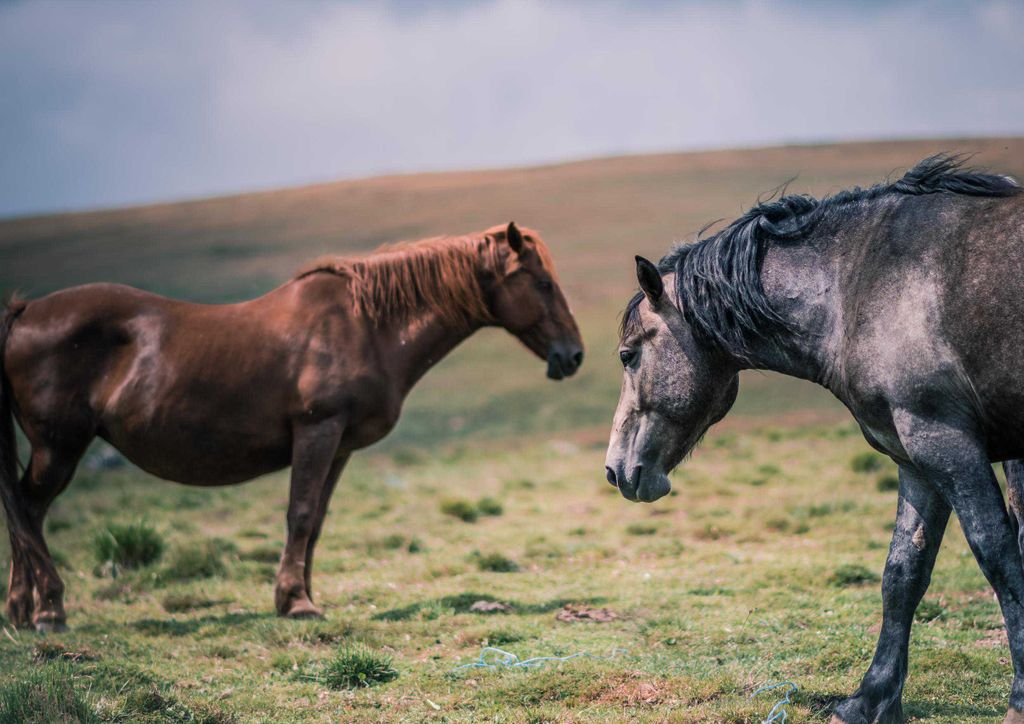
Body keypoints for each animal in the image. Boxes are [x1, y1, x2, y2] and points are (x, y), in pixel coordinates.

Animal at [0, 221, 584, 632]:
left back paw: (21, 610)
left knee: (24, 510)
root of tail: (26, 313)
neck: (366, 325)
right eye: (542, 282)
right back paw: (49, 610)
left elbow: (317, 521)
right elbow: (299, 514)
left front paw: (299, 594)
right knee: (27, 509)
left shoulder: (340, 447)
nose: (573, 355)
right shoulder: (317, 431)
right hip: (60, 446)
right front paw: (297, 603)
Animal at [604, 156, 1024, 723]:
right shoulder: (917, 458)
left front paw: (1020, 699)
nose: (615, 470)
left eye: (628, 355)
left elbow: (999, 558)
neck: (859, 285)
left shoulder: (947, 444)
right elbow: (902, 575)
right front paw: (869, 699)